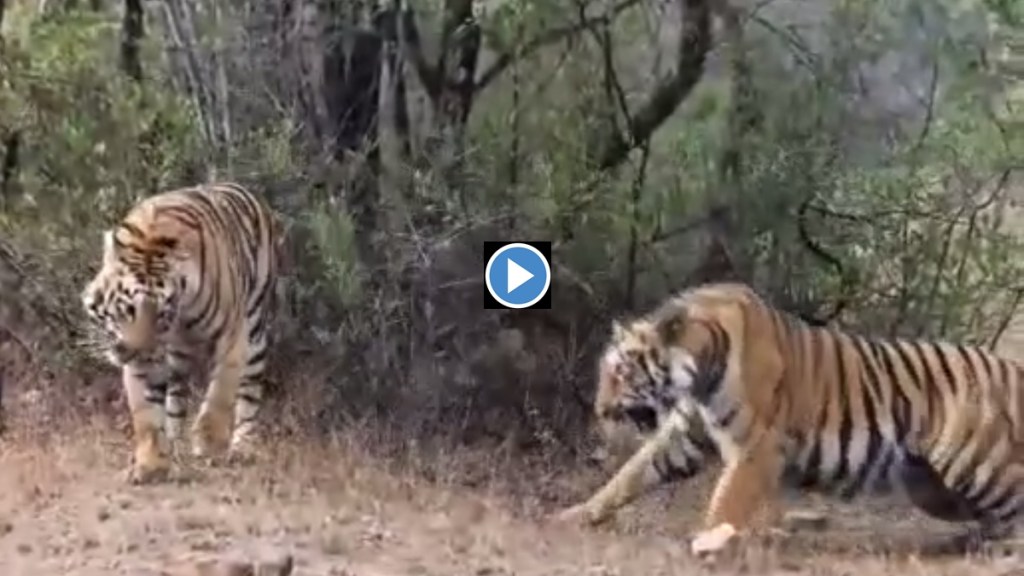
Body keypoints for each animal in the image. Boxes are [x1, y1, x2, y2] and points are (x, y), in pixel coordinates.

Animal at [81, 182, 282, 484]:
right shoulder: (146, 361)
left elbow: (221, 393)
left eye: (160, 314)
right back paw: (173, 445)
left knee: (249, 391)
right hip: (178, 358)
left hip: (255, 328)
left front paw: (208, 442)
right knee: (175, 398)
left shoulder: (232, 338)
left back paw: (241, 448)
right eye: (127, 309)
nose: (133, 350)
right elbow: (146, 415)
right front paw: (151, 464)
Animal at [553, 282, 1023, 557]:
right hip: (931, 487)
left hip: (976, 466)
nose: (600, 409)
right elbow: (628, 476)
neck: (700, 369)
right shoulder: (686, 433)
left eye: (621, 372)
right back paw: (968, 541)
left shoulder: (756, 445)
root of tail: (1013, 369)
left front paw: (709, 541)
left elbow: (726, 500)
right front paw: (573, 515)